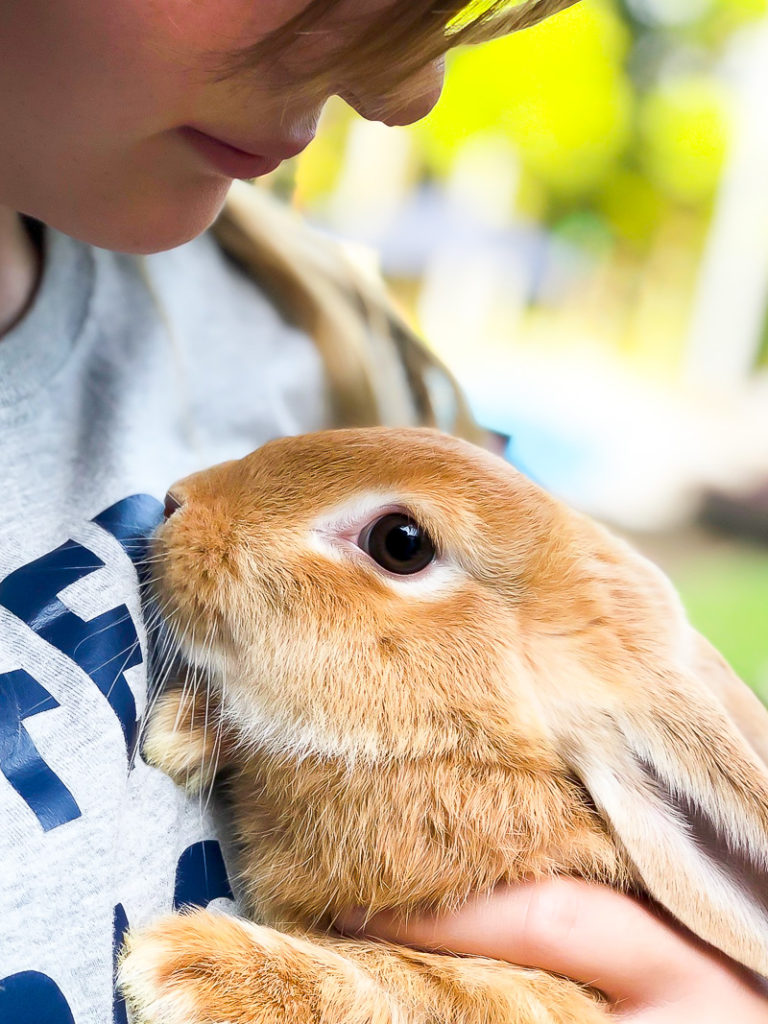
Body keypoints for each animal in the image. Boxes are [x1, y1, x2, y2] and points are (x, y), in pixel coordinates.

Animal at [120, 425, 768, 1024]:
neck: (470, 755)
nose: (176, 501)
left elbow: (420, 989)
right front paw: (181, 730)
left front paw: (193, 968)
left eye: (400, 543)